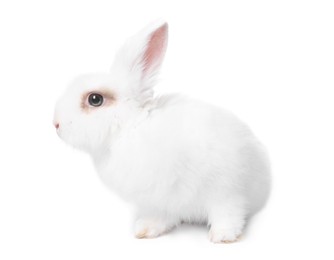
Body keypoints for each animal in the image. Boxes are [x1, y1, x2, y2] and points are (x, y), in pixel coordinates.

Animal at [53, 20, 270, 244]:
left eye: (95, 99)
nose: (56, 124)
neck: (132, 127)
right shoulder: (159, 200)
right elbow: (161, 216)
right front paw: (145, 229)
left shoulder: (224, 189)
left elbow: (227, 211)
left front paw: (222, 237)